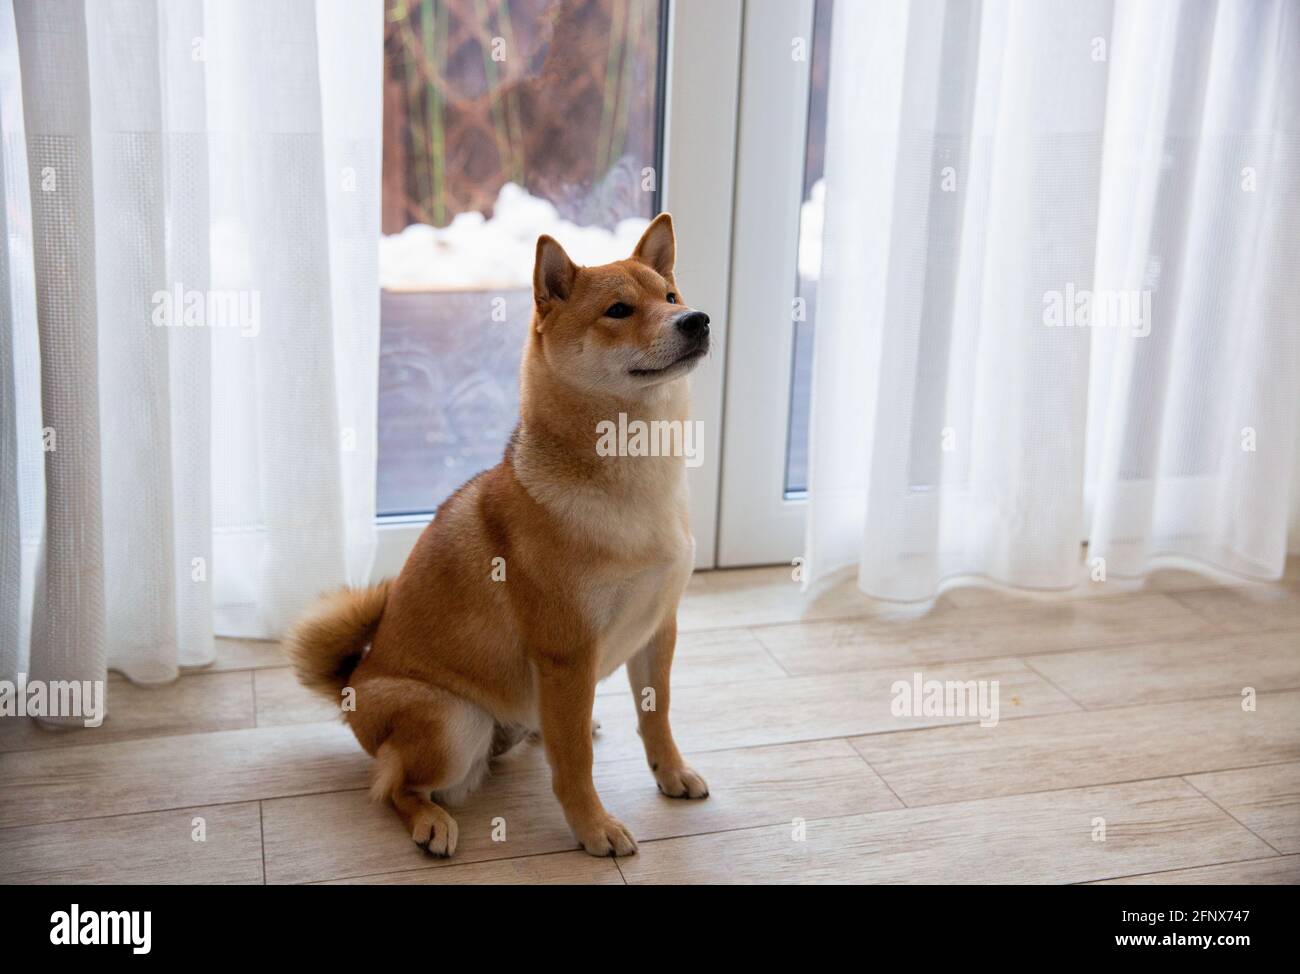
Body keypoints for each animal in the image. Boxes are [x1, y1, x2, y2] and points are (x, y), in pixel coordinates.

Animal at [288, 214, 712, 858]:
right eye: (618, 310)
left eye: (670, 298)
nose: (697, 319)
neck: (637, 484)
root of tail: (352, 689)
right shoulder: (567, 654)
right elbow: (575, 764)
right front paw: (593, 827)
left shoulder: (657, 629)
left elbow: (655, 717)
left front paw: (672, 773)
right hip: (453, 722)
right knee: (393, 785)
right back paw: (430, 822)